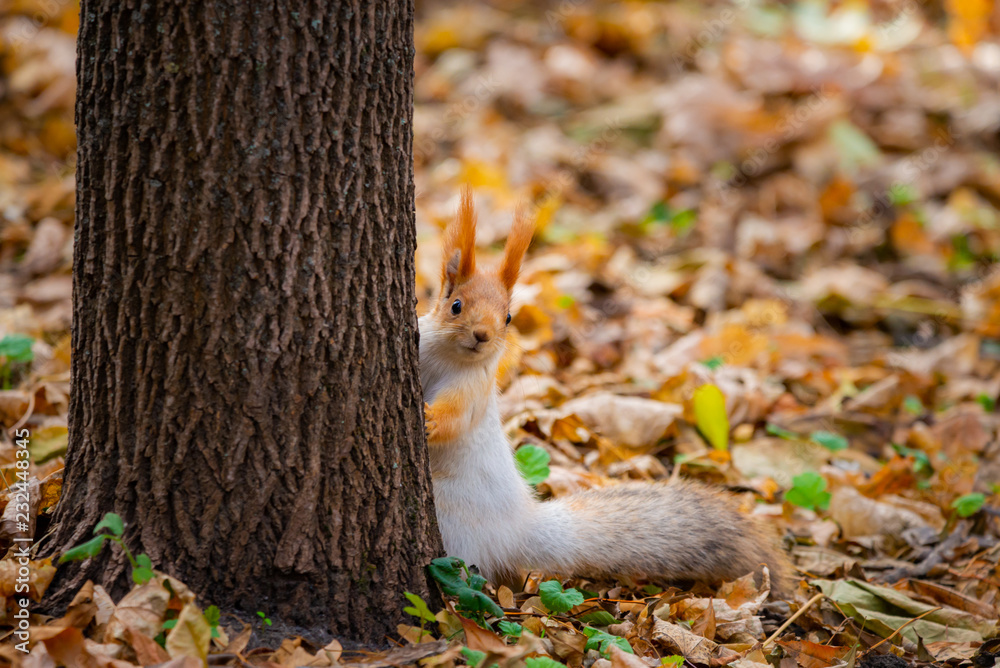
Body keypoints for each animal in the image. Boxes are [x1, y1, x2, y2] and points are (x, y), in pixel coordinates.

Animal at [419, 188, 791, 596]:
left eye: (508, 318)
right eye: (456, 306)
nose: (482, 335)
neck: (447, 356)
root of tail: (518, 529)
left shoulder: (474, 388)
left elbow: (457, 417)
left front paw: (430, 420)